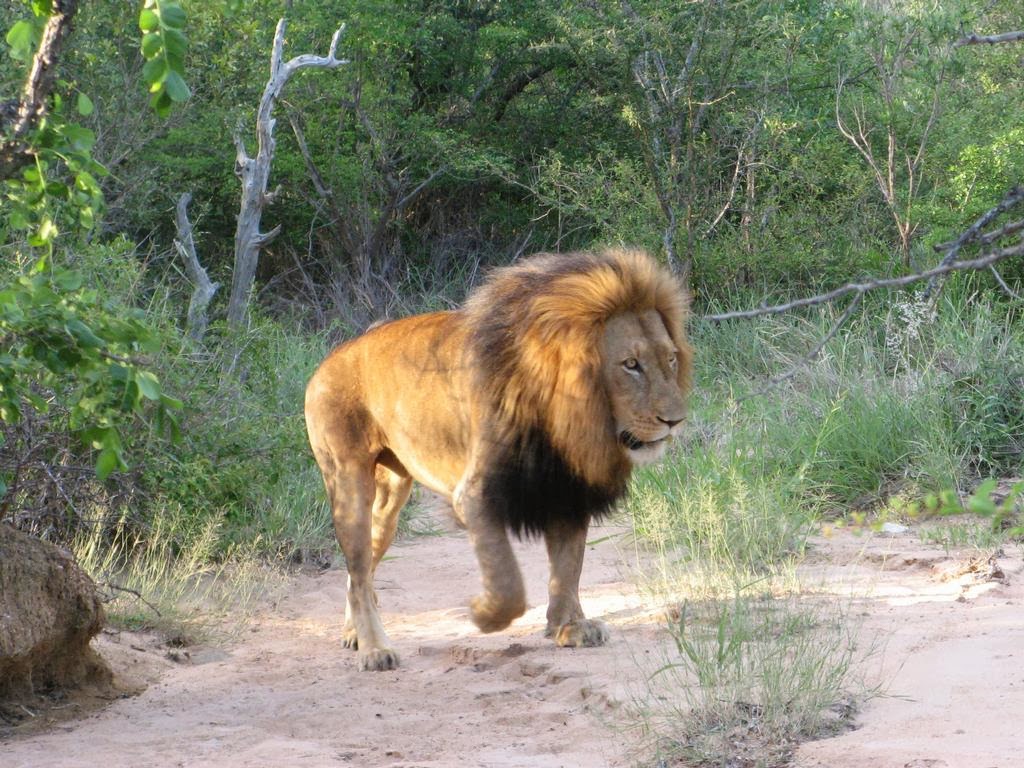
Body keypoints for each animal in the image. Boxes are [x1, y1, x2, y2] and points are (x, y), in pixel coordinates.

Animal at [304, 247, 692, 671]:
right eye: (631, 365)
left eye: (671, 360)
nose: (675, 420)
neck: (567, 418)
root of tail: (336, 353)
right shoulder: (476, 494)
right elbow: (508, 580)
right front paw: (485, 615)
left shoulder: (568, 490)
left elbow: (569, 566)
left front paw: (569, 628)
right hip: (349, 482)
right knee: (358, 570)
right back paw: (375, 649)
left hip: (390, 497)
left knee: (360, 571)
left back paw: (355, 633)